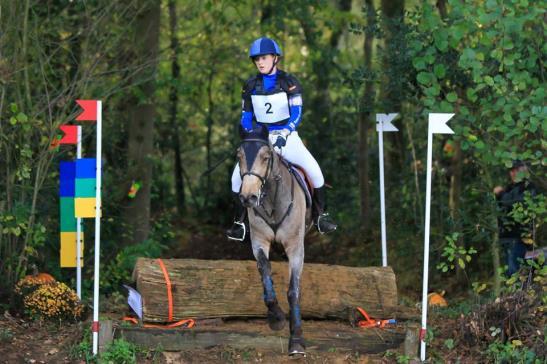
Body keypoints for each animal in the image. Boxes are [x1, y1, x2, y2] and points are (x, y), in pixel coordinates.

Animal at [237, 125, 312, 356]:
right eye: (238, 156)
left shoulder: (295, 247)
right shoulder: (259, 241)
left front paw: (296, 340)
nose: (248, 197)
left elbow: (293, 290)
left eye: (266, 157)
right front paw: (276, 317)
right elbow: (265, 270)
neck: (270, 198)